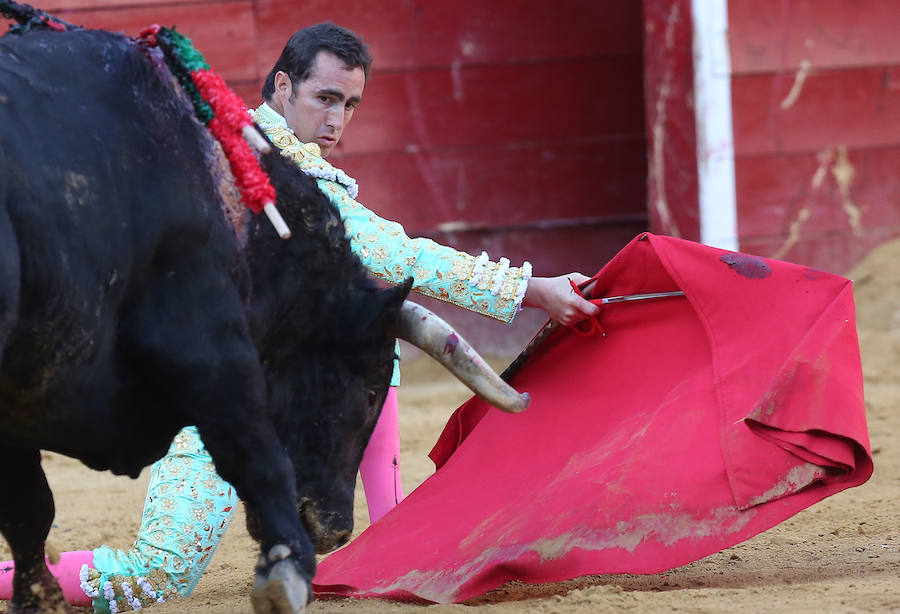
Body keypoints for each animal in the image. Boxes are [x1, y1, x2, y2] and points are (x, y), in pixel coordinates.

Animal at [0, 24, 528, 614]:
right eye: (370, 392)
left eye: (347, 102)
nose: (333, 530)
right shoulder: (212, 351)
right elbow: (261, 456)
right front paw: (287, 570)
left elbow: (29, 509)